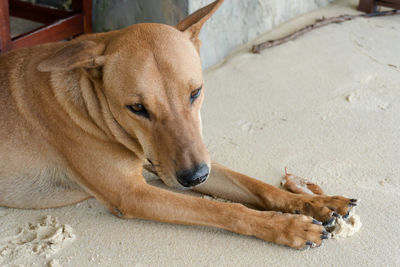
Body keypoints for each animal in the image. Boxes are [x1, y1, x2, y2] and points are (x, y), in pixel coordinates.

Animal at [0, 0, 356, 251]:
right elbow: (223, 211)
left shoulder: (181, 161)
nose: (194, 177)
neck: (89, 103)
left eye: (195, 92)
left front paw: (317, 203)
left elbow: (259, 187)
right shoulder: (132, 193)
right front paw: (286, 227)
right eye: (137, 108)